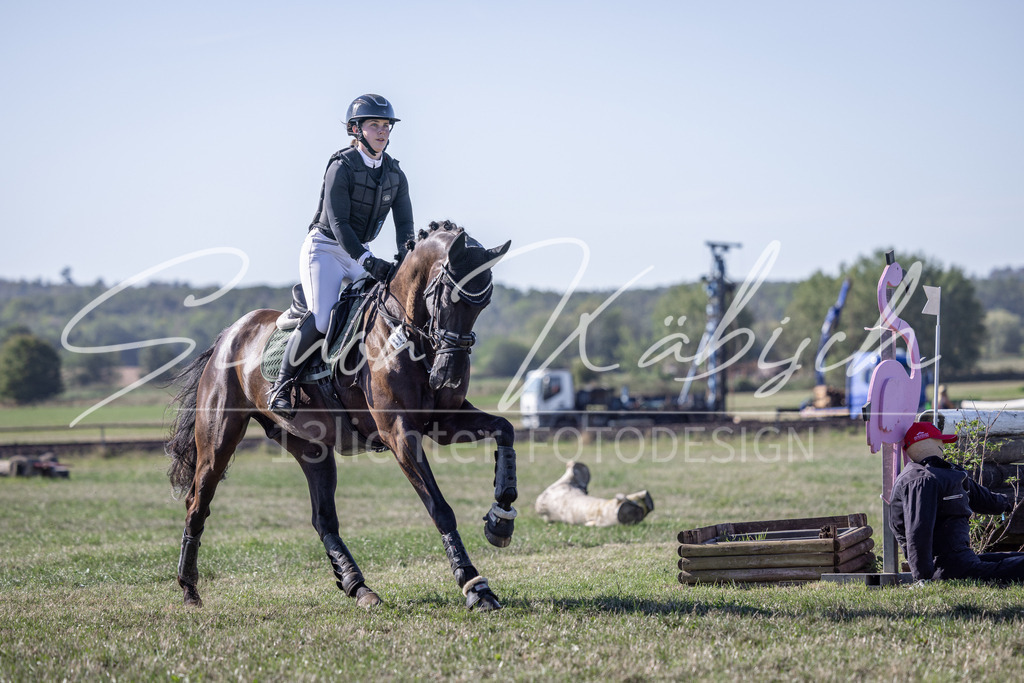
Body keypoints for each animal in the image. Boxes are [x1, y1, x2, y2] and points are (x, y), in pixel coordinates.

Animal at [165, 221, 518, 611]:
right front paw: (475, 586)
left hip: (311, 449)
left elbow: (505, 429)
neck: (405, 332)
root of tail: (228, 335)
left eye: (484, 302)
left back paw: (358, 587)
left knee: (323, 519)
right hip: (219, 442)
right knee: (197, 503)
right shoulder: (399, 432)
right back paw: (189, 589)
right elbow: (439, 507)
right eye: (448, 297)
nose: (450, 375)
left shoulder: (444, 421)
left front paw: (500, 519)